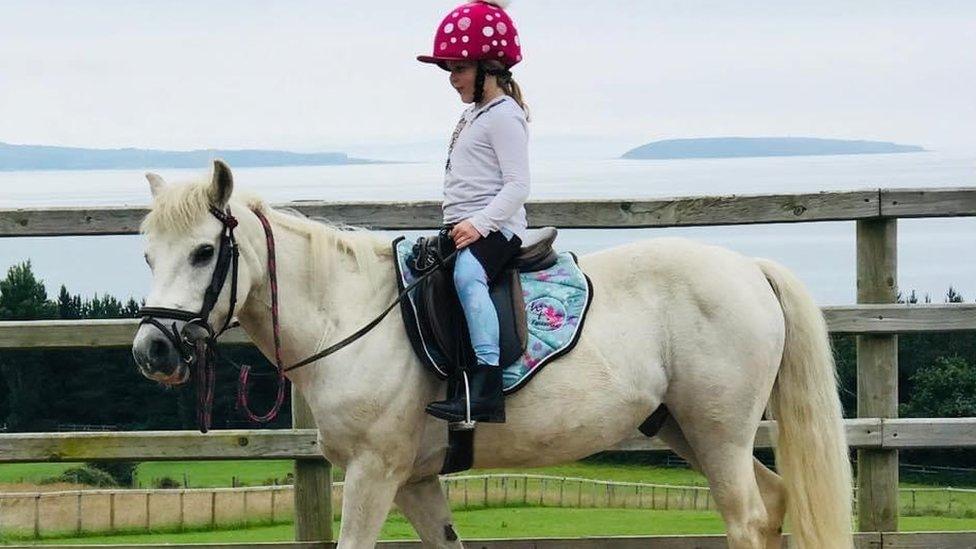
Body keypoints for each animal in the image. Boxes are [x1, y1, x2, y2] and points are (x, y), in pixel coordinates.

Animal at [133, 161, 852, 544]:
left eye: (204, 251)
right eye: (147, 254)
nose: (152, 351)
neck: (353, 311)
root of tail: (750, 268)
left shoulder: (374, 472)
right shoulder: (416, 480)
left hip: (718, 432)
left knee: (748, 517)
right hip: (684, 428)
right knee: (774, 503)